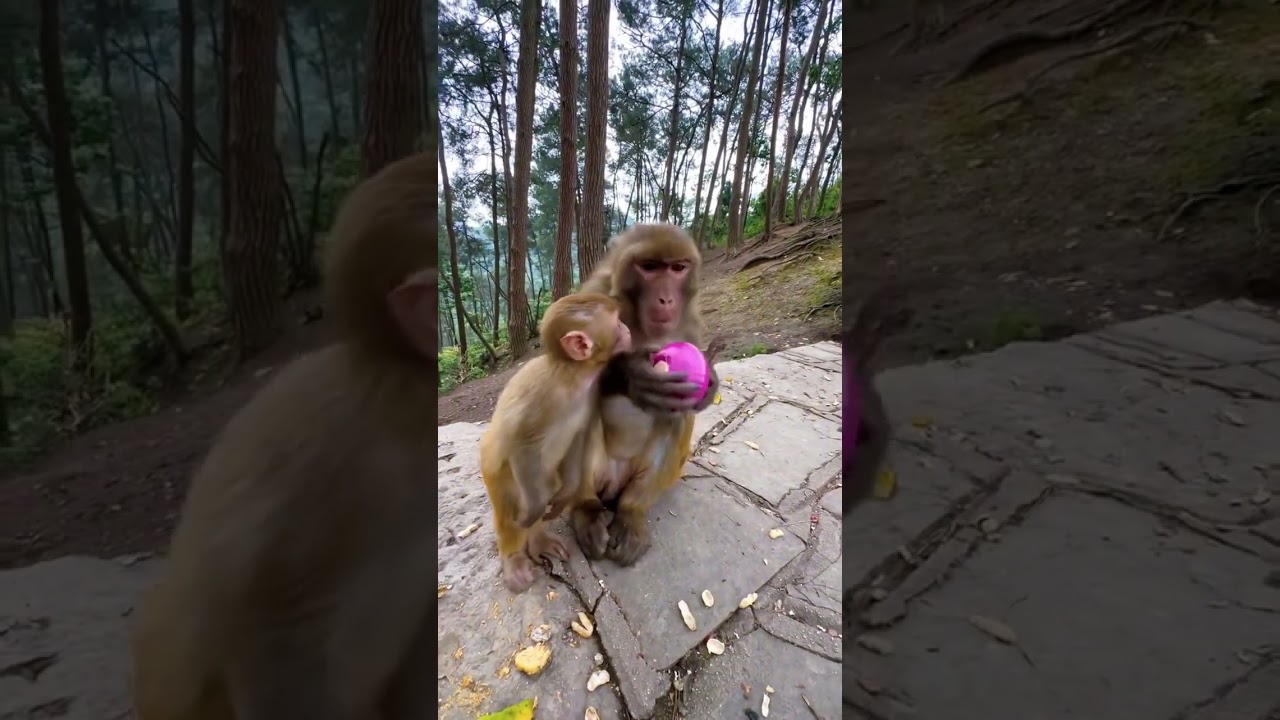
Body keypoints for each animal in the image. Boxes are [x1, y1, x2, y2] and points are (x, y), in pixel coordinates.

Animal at [479, 292, 633, 593]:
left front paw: (565, 496)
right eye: (617, 324)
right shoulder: (542, 397)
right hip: (498, 473)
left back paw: (539, 539)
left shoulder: (592, 394)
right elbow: (523, 447)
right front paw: (535, 511)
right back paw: (515, 558)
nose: (628, 329)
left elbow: (578, 438)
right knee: (510, 506)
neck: (574, 376)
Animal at [571, 223, 722, 566]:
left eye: (678, 268)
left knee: (678, 415)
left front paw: (711, 383)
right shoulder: (595, 294)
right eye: (649, 267)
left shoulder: (691, 321)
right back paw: (585, 510)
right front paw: (635, 377)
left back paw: (630, 513)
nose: (666, 299)